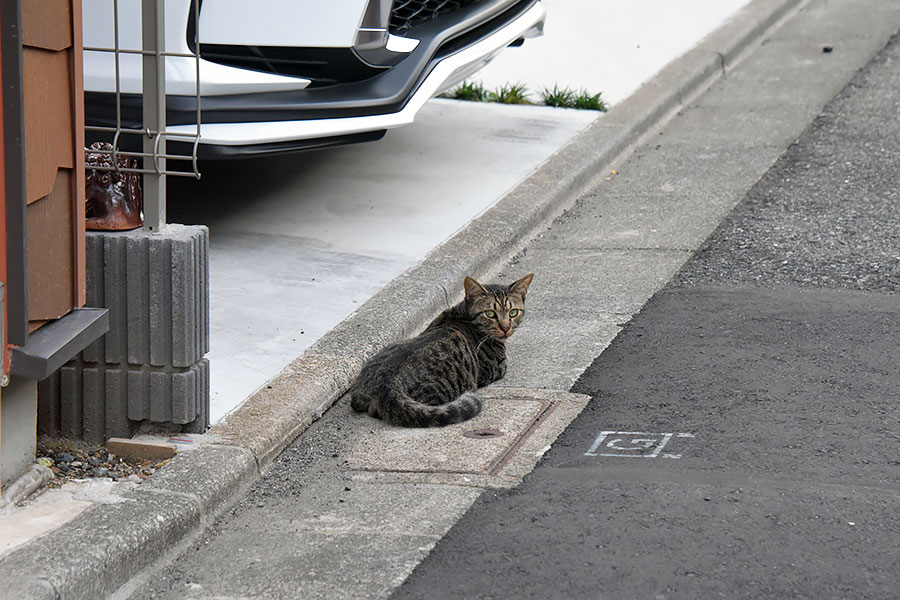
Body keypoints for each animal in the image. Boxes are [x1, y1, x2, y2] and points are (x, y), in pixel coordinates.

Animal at [350, 274, 536, 428]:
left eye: (513, 312)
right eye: (490, 313)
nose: (505, 328)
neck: (461, 316)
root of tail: (386, 383)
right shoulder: (498, 367)